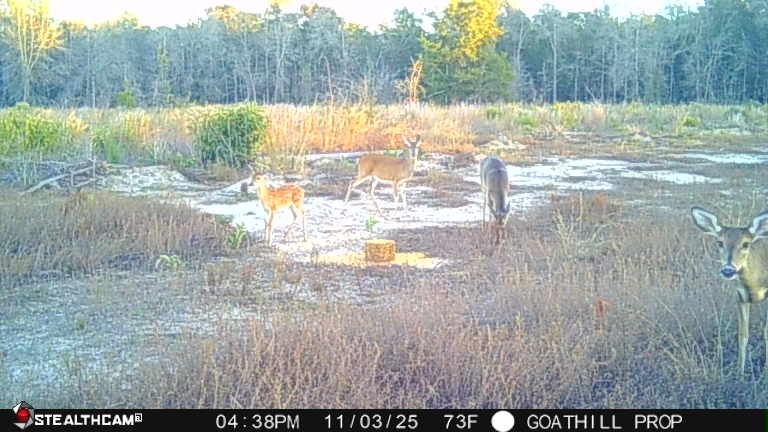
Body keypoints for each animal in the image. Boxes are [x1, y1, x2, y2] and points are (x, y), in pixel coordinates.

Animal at [691, 206, 768, 375]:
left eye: (746, 244)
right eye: (720, 242)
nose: (728, 270)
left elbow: (767, 332)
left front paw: (765, 371)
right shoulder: (741, 297)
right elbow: (742, 334)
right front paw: (740, 373)